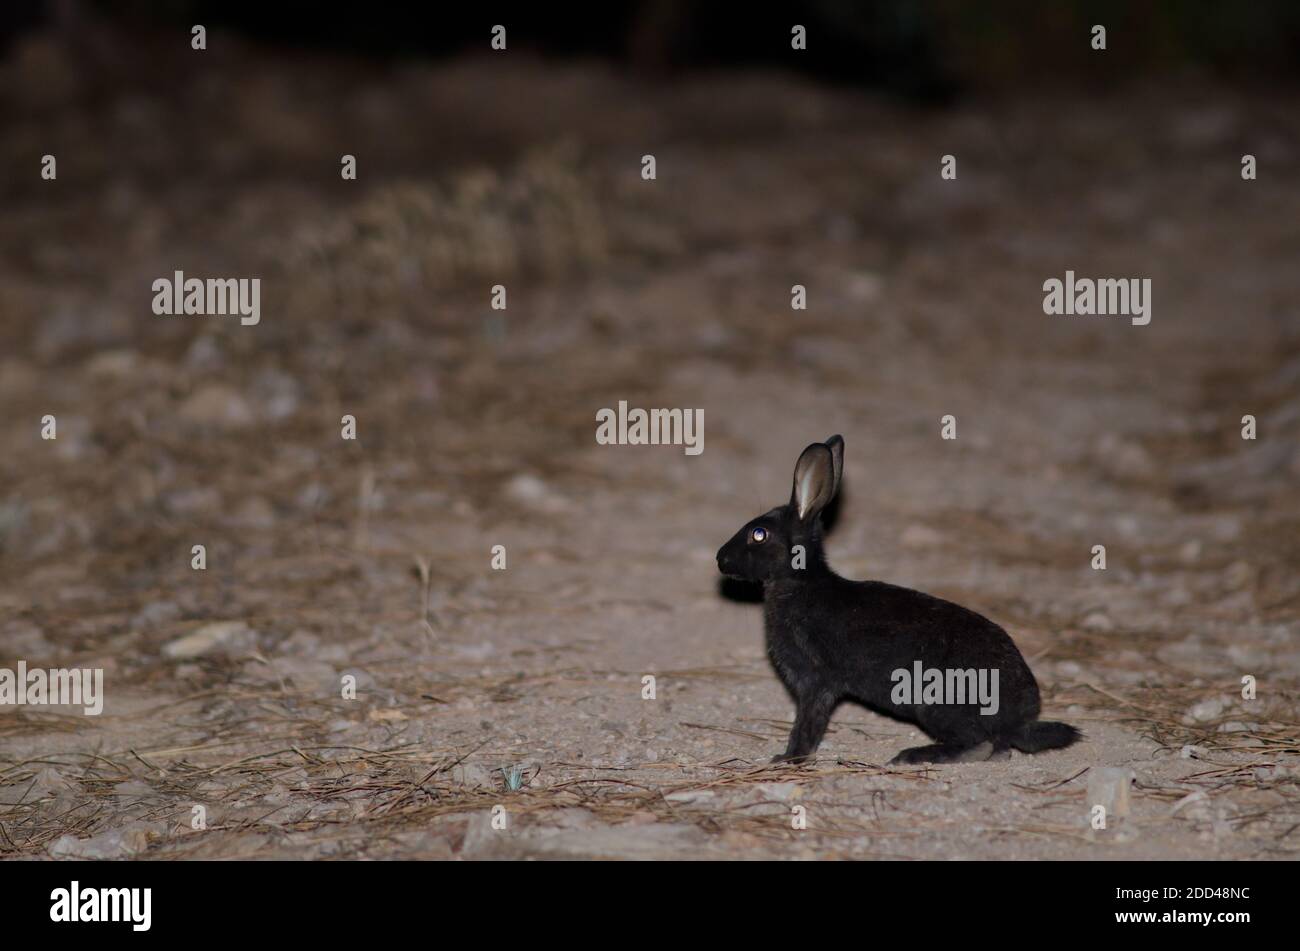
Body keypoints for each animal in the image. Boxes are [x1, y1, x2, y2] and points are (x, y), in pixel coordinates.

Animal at [717, 436, 1081, 763]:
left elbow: (808, 724)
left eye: (759, 534)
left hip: (937, 705)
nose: (720, 559)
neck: (799, 581)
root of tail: (1021, 718)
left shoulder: (815, 682)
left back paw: (912, 755)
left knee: (977, 744)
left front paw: (787, 758)